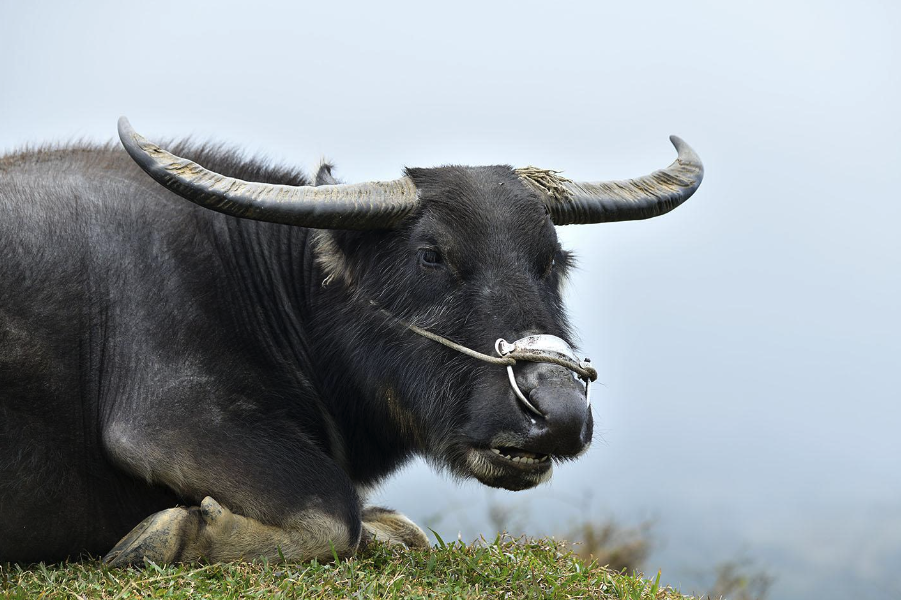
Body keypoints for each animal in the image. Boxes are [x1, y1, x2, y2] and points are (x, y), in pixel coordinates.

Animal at [0, 119, 704, 564]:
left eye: (552, 260)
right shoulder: (170, 419)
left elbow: (401, 528)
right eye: (431, 254)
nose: (558, 413)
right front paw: (166, 535)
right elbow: (331, 512)